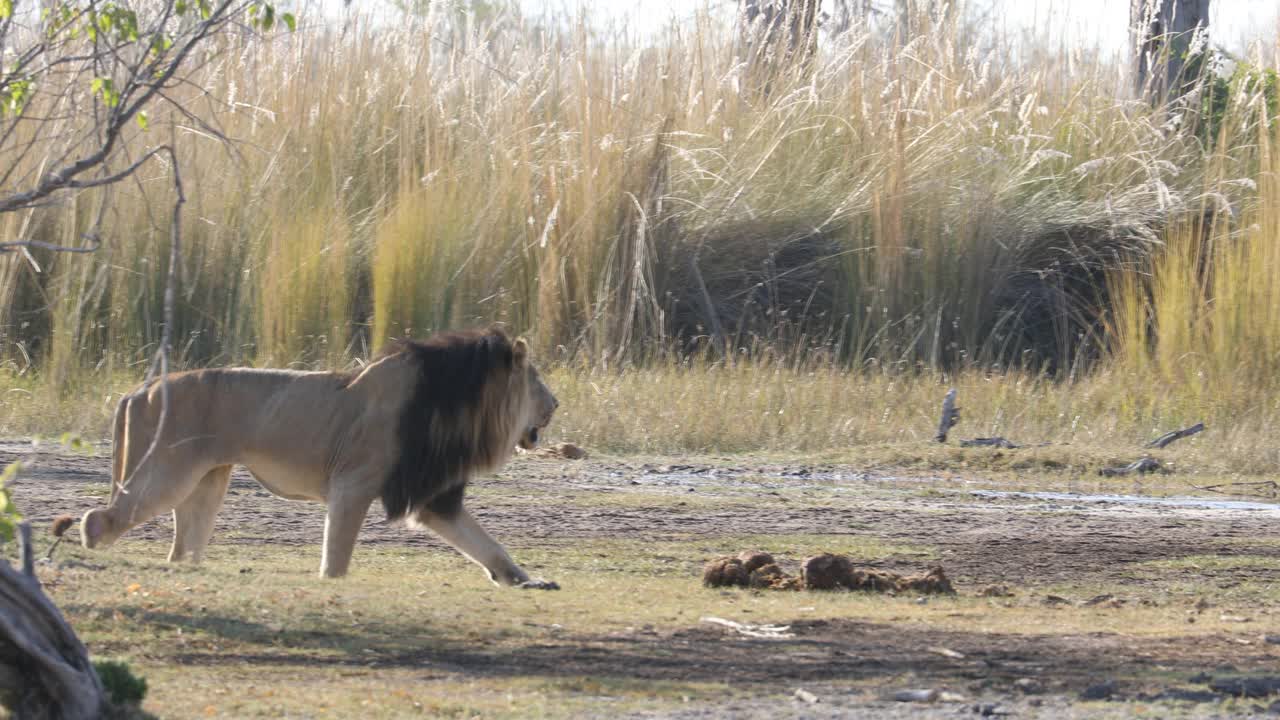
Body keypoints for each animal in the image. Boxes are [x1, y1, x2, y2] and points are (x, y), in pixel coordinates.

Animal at [80, 325, 560, 589]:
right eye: (537, 382)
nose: (555, 404)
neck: (455, 405)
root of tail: (138, 389)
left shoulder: (431, 494)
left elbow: (485, 543)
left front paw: (524, 580)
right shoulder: (355, 482)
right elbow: (338, 554)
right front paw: (330, 582)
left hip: (207, 481)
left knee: (183, 550)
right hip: (168, 473)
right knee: (101, 519)